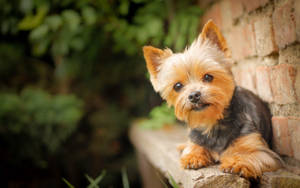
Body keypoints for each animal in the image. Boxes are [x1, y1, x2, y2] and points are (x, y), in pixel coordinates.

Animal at [142, 19, 282, 178]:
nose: (194, 95)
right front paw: (193, 156)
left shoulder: (265, 152)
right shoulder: (196, 139)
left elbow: (248, 154)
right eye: (177, 86)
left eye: (208, 77)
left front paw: (238, 162)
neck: (212, 122)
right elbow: (193, 147)